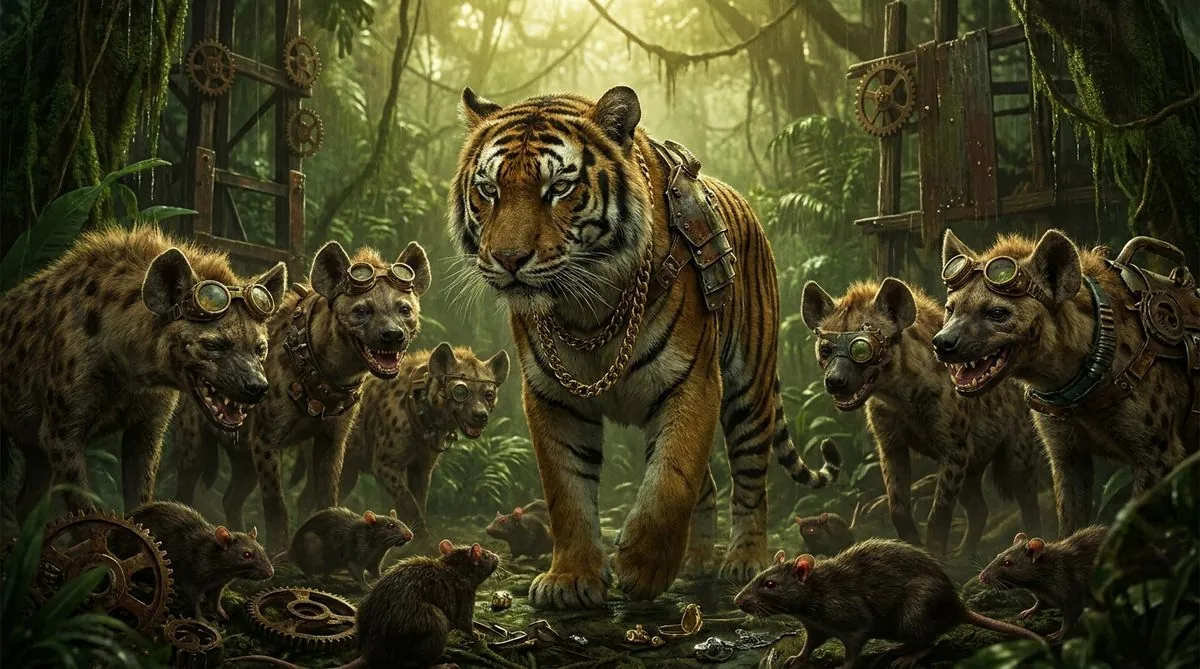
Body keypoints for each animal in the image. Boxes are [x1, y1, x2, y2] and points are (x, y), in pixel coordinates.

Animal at [448, 85, 841, 609]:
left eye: (558, 189)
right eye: (489, 190)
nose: (508, 259)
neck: (586, 308)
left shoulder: (692, 382)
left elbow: (670, 482)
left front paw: (642, 568)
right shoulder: (552, 398)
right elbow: (566, 492)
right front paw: (571, 578)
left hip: (749, 390)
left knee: (750, 479)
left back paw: (745, 560)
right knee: (709, 484)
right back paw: (697, 562)